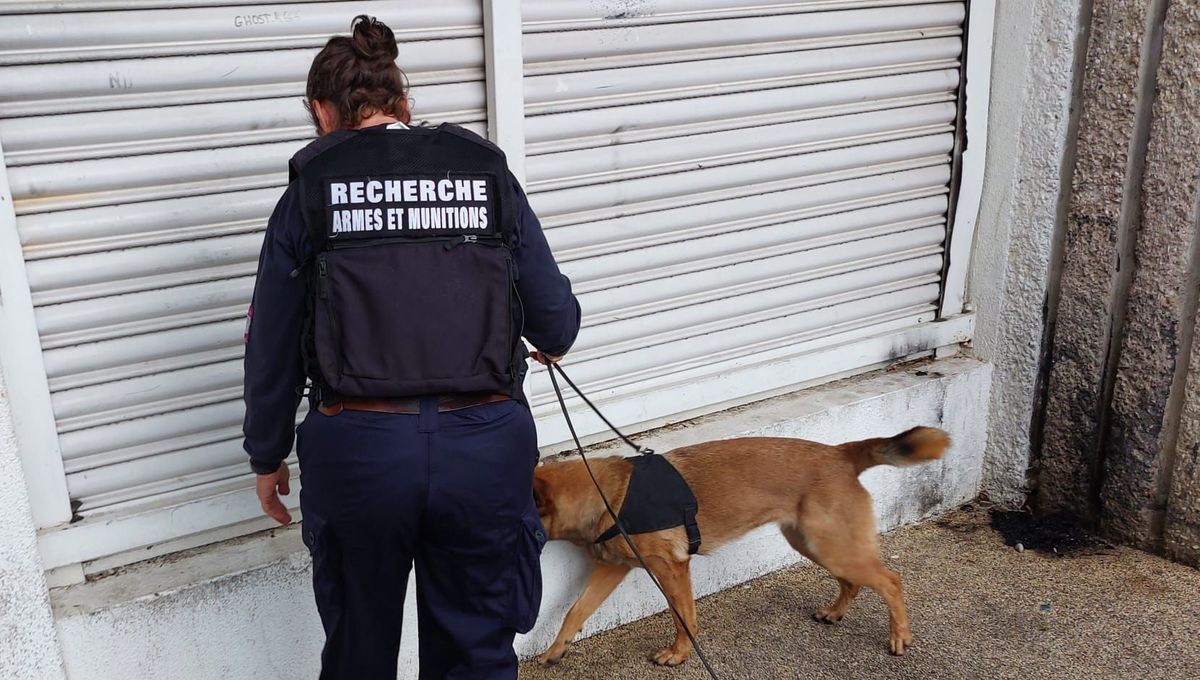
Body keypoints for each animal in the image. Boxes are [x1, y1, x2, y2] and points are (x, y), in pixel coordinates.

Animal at [530, 429, 950, 666]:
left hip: (832, 547)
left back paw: (899, 636)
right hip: (814, 545)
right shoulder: (612, 568)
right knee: (854, 582)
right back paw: (834, 612)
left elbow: (683, 617)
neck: (608, 493)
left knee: (890, 581)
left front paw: (679, 655)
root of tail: (840, 453)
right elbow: (575, 612)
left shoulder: (671, 569)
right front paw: (555, 651)